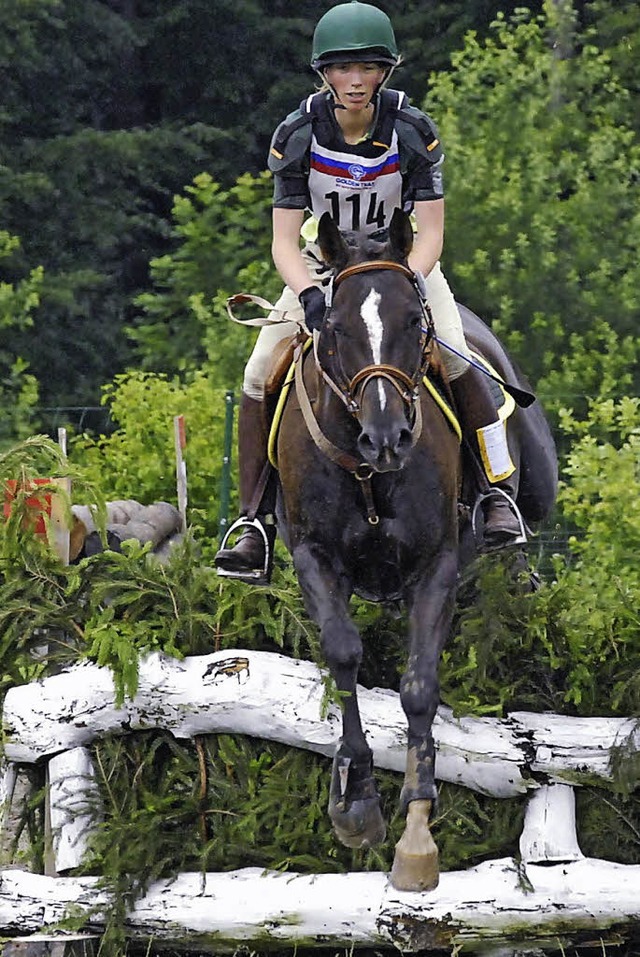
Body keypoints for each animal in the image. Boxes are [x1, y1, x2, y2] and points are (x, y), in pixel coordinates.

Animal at [274, 209, 556, 888]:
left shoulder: (437, 564)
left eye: (412, 322)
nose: (389, 438)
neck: (367, 474)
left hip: (527, 502)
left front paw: (417, 836)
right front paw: (355, 803)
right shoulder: (314, 558)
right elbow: (343, 655)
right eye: (337, 328)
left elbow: (419, 685)